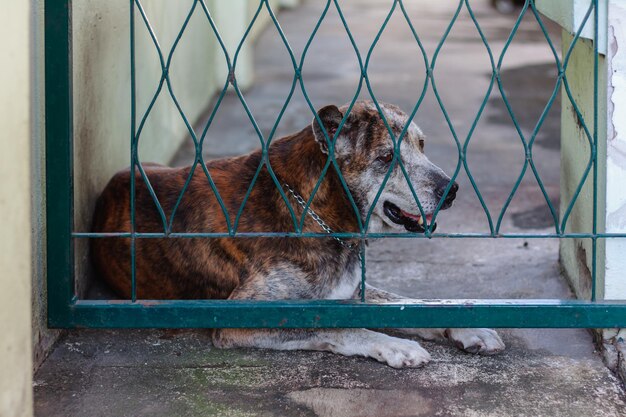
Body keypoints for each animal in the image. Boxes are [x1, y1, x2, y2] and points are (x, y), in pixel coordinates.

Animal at [91, 101, 502, 368]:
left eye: (421, 145)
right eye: (386, 158)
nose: (451, 189)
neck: (318, 209)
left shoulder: (352, 290)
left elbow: (415, 303)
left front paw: (471, 327)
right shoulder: (244, 316)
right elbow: (341, 329)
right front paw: (397, 346)